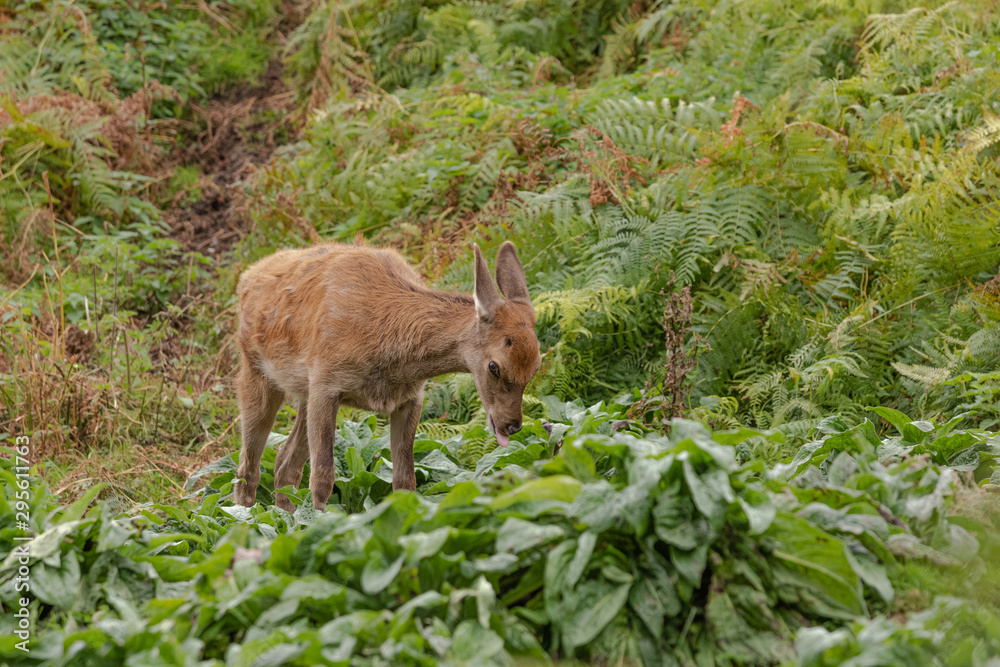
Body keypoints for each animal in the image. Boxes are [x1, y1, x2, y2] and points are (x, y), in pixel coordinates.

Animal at [232, 241, 541, 512]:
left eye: (537, 366)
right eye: (494, 366)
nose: (512, 425)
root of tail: (246, 277)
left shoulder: (410, 398)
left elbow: (405, 480)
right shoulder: (326, 384)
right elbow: (322, 476)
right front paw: (323, 523)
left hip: (304, 393)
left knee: (284, 462)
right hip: (257, 372)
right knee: (247, 468)